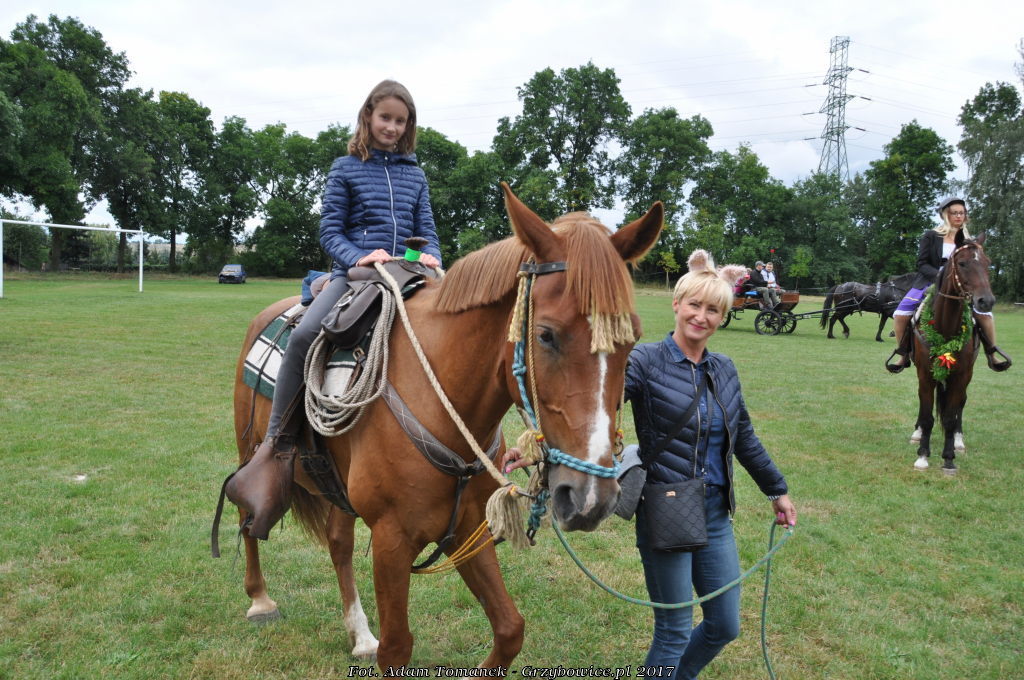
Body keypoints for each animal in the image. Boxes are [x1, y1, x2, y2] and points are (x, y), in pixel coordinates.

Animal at [223, 184, 663, 669]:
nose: (590, 499)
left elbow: (510, 629)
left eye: (632, 339)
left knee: (339, 543)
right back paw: (260, 600)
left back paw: (360, 634)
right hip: (251, 449)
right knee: (246, 511)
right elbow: (397, 647)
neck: (440, 396)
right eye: (545, 335)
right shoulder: (392, 541)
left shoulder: (467, 528)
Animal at [909, 234, 994, 474]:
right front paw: (922, 456)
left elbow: (949, 416)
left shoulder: (961, 376)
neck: (945, 326)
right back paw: (918, 433)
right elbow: (927, 416)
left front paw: (948, 458)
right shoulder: (925, 374)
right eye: (962, 263)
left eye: (987, 263)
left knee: (960, 406)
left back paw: (958, 440)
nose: (986, 301)